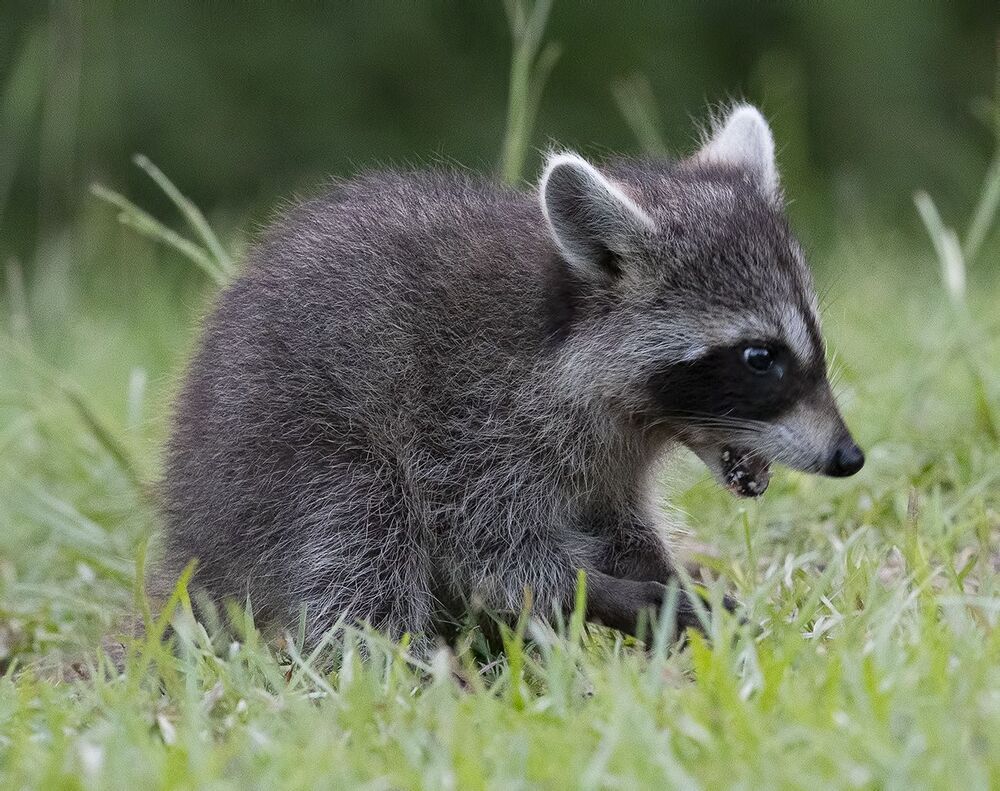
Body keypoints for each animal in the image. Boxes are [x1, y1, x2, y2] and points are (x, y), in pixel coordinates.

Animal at [163, 105, 863, 646]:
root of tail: (187, 533)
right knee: (359, 540)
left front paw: (664, 575)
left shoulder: (598, 460)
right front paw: (605, 592)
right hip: (290, 455)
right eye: (760, 358)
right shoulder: (468, 420)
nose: (849, 457)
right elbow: (490, 551)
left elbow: (616, 524)